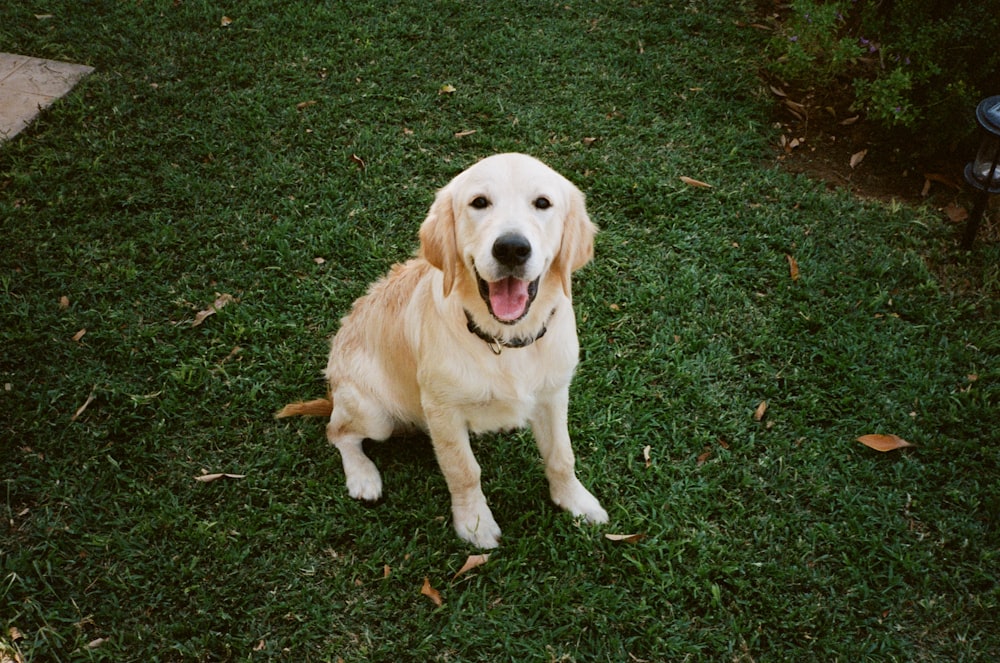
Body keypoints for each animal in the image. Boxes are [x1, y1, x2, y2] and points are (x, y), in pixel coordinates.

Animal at [280, 153, 608, 548]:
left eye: (542, 203)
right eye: (479, 202)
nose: (512, 248)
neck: (503, 340)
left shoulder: (554, 394)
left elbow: (562, 455)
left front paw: (576, 501)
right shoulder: (442, 410)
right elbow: (463, 469)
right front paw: (475, 523)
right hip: (374, 413)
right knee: (338, 432)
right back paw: (363, 475)